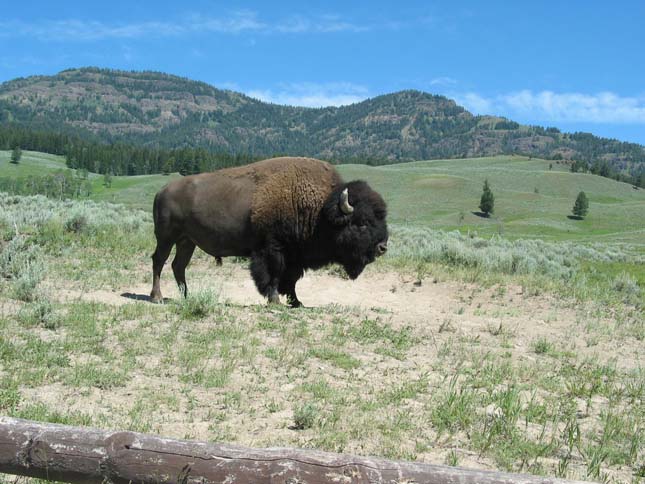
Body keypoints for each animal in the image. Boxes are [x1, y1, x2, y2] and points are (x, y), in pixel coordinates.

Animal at [151, 157, 388, 306]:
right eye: (362, 223)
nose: (382, 247)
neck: (320, 209)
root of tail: (162, 191)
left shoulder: (295, 257)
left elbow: (291, 280)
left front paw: (297, 302)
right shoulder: (272, 249)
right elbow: (274, 275)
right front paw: (275, 300)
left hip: (187, 241)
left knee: (178, 266)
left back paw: (186, 296)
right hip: (166, 237)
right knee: (159, 261)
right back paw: (157, 297)